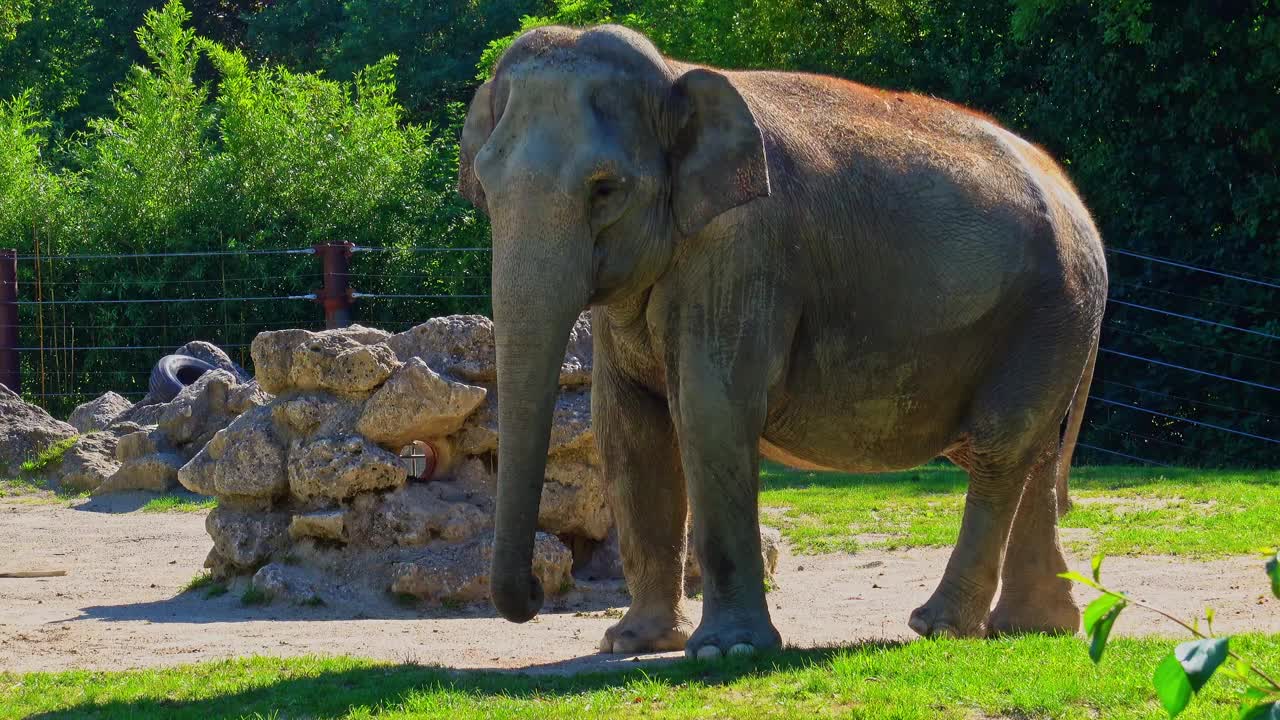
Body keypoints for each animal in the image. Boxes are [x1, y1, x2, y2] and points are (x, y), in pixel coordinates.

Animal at [460, 23, 1111, 655]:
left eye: (604, 189)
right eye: (484, 188)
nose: (537, 592)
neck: (672, 75)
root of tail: (1075, 198)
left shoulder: (744, 250)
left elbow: (711, 410)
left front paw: (727, 652)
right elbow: (627, 428)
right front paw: (630, 642)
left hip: (1048, 310)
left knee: (1000, 447)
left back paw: (940, 627)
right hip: (1051, 322)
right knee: (1031, 453)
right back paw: (1034, 628)